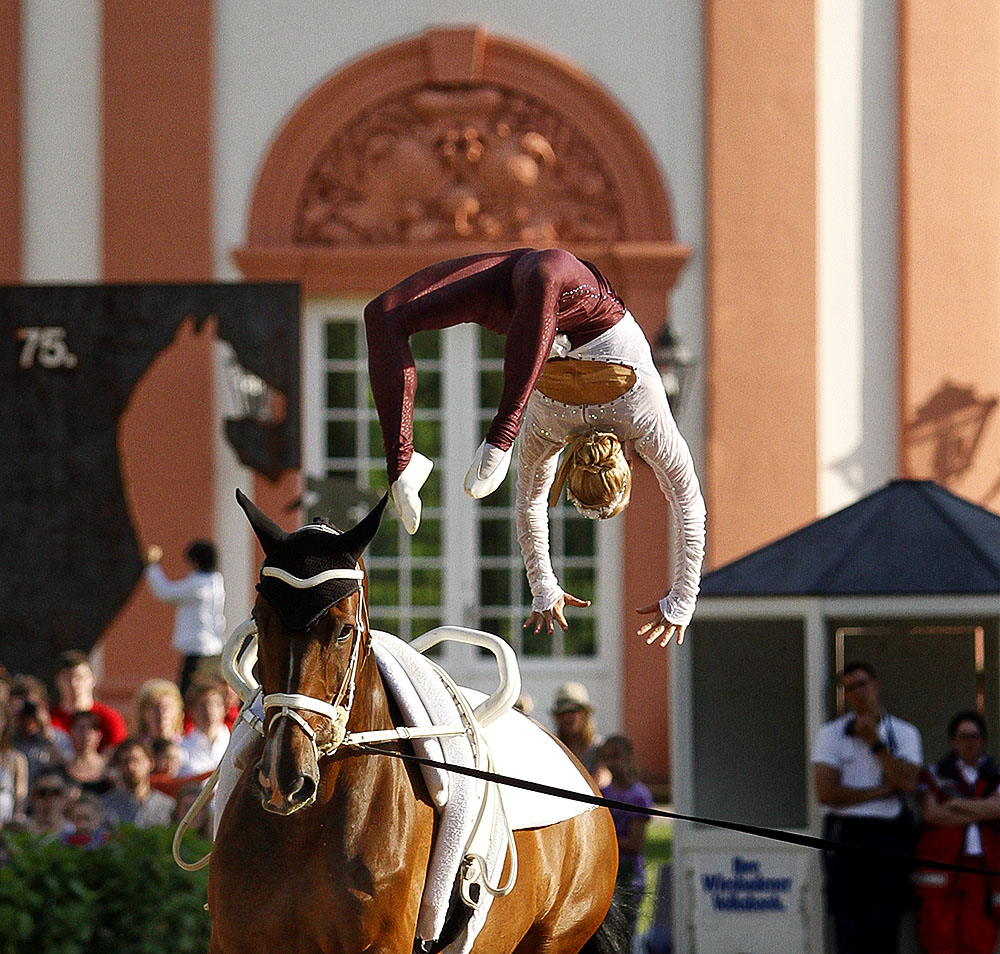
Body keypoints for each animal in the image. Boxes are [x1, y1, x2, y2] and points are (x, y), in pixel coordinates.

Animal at [208, 490, 620, 952]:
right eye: (260, 622)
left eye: (343, 630)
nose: (285, 778)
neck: (305, 829)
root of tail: (585, 776)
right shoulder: (231, 941)